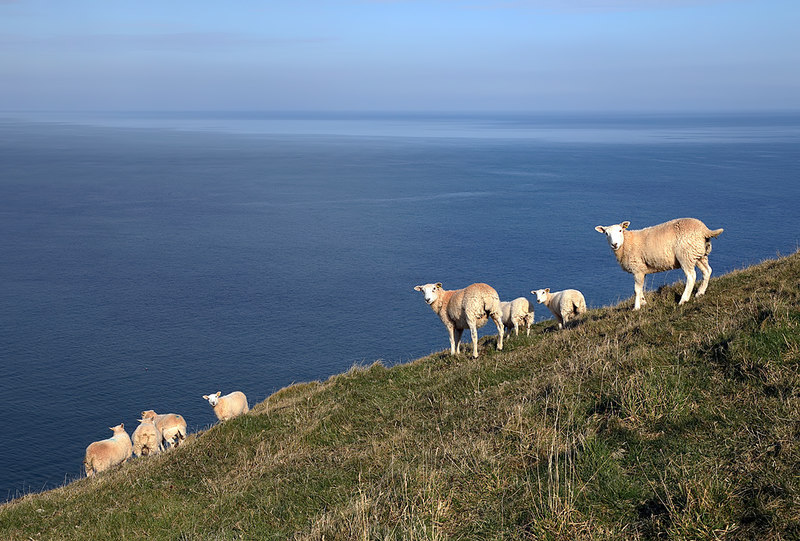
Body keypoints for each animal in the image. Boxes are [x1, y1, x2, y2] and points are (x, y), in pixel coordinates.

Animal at [592, 215, 724, 308]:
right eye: (606, 233)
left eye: (620, 230)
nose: (614, 244)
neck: (626, 243)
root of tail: (704, 229)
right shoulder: (641, 270)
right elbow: (641, 288)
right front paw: (643, 302)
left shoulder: (637, 268)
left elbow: (636, 289)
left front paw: (636, 307)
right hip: (698, 254)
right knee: (707, 271)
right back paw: (700, 293)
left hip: (685, 254)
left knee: (691, 276)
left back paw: (683, 300)